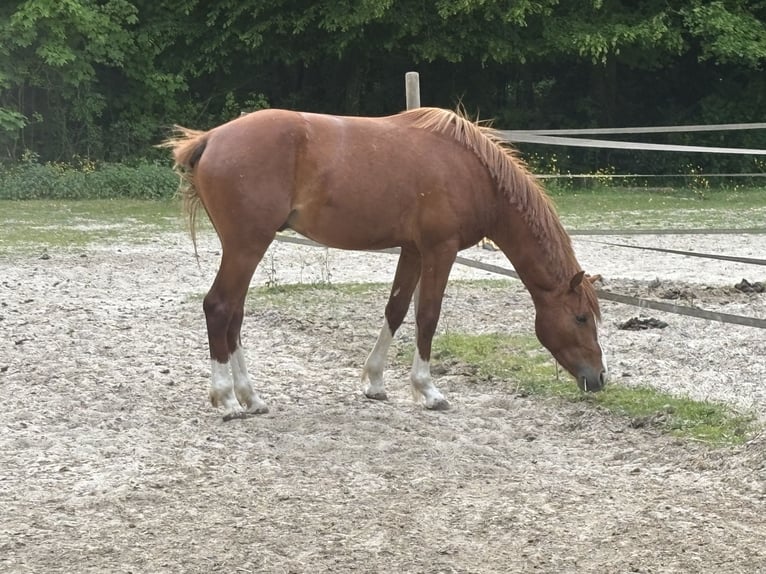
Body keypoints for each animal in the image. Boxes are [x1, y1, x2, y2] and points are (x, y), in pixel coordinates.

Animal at [162, 107, 607, 420]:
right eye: (581, 318)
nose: (599, 378)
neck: (473, 171)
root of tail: (210, 139)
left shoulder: (412, 250)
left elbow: (395, 310)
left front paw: (374, 382)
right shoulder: (440, 250)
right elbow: (428, 315)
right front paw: (428, 391)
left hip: (244, 247)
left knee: (234, 315)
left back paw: (251, 398)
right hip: (247, 246)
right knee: (219, 307)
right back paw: (226, 400)